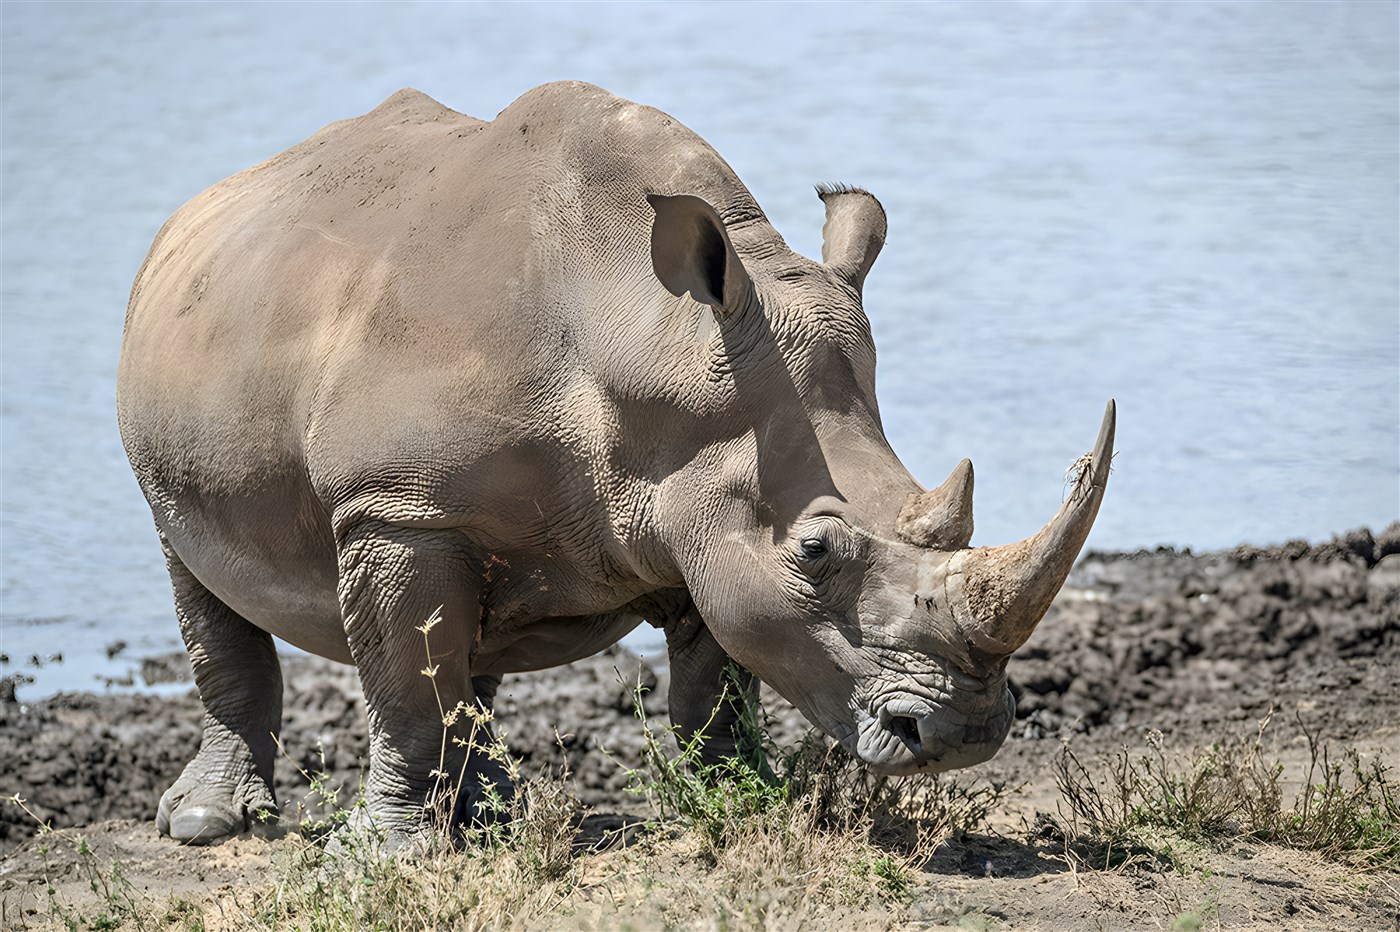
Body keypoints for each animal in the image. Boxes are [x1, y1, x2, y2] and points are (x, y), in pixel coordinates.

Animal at [117, 81, 1114, 847]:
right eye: (817, 552)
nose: (965, 733)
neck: (643, 337)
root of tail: (196, 208)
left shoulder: (704, 500)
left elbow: (717, 680)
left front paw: (737, 800)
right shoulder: (395, 506)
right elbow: (405, 686)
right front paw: (382, 854)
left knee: (475, 631)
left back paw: (495, 815)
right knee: (197, 571)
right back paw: (210, 826)